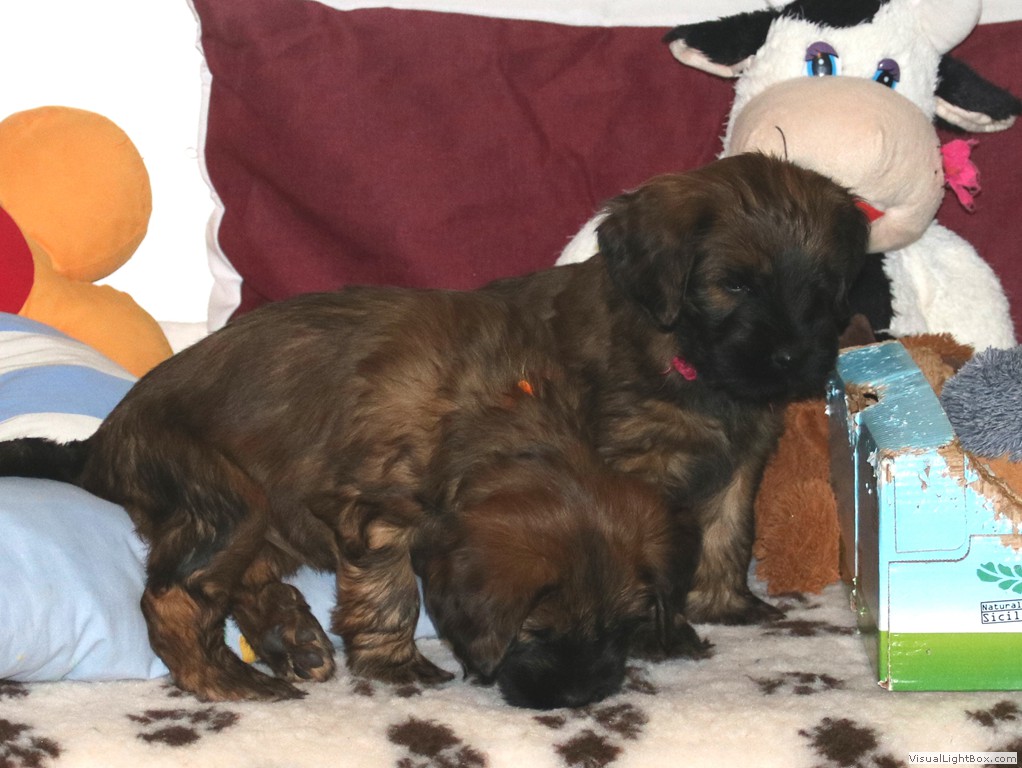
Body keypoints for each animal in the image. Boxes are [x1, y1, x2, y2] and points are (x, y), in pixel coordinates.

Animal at [0, 152, 866, 703]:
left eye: (826, 287)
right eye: (733, 284)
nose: (797, 357)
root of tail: (102, 441)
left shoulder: (743, 456)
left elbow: (726, 532)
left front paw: (720, 607)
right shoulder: (381, 509)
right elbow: (388, 590)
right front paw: (397, 665)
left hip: (257, 513)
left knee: (239, 576)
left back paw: (290, 634)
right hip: (223, 490)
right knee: (178, 595)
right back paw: (229, 677)